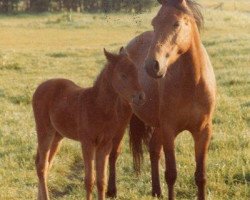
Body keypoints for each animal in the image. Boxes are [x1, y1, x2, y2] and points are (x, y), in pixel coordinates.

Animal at [32, 47, 146, 200]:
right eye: (123, 75)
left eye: (136, 72)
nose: (141, 97)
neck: (98, 106)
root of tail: (40, 87)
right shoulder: (87, 143)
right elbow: (89, 180)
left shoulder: (104, 145)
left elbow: (101, 180)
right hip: (45, 131)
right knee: (42, 166)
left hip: (57, 136)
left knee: (45, 164)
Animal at [126, 0, 216, 200]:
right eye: (154, 23)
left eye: (176, 24)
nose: (152, 66)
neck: (192, 83)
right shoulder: (169, 130)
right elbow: (171, 174)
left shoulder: (203, 131)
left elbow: (201, 176)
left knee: (153, 149)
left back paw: (156, 191)